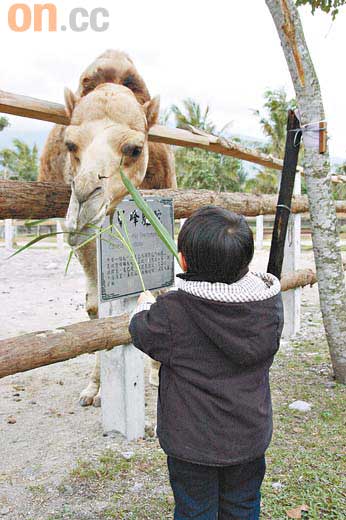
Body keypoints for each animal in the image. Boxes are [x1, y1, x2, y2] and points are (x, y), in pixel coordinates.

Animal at [38, 49, 176, 406]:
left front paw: (157, 370)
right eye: (70, 145)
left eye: (135, 149)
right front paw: (95, 389)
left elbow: (159, 289)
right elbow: (95, 307)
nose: (84, 207)